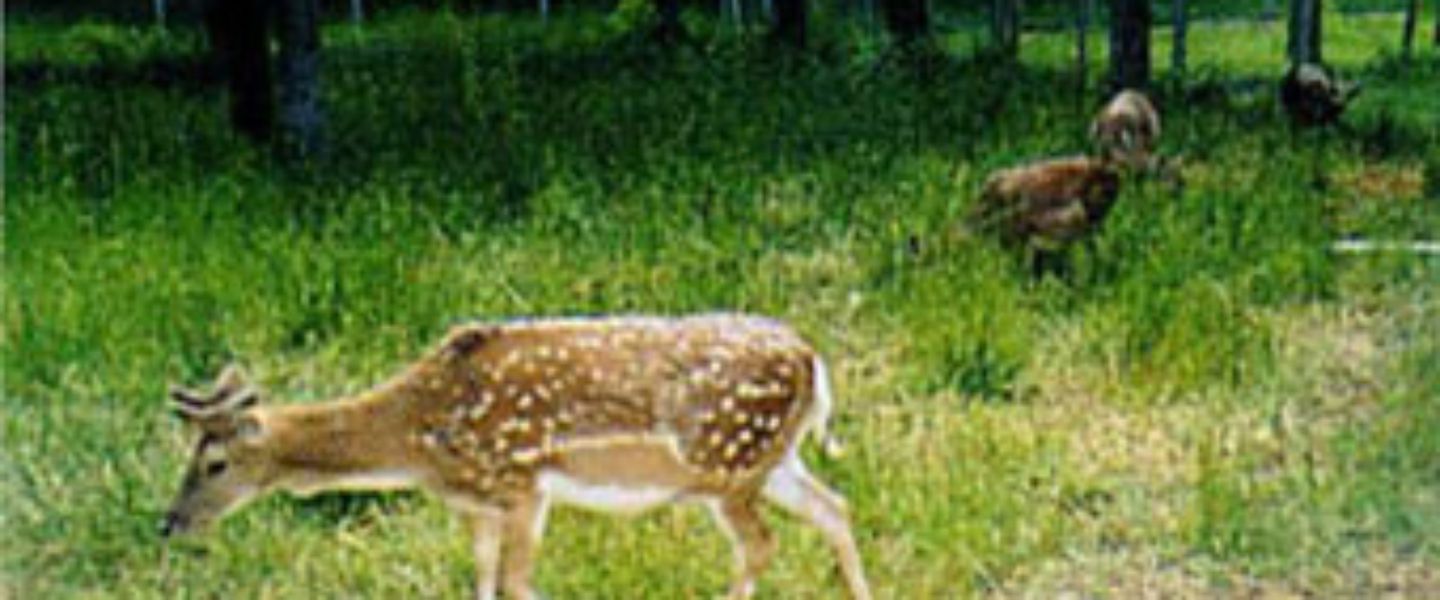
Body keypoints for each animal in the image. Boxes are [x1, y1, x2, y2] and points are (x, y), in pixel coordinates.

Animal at [163, 313, 869, 598]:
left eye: (214, 463)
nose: (168, 523)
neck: (420, 439)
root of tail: (812, 359)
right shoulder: (478, 503)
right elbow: (481, 578)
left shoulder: (525, 483)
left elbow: (517, 582)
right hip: (771, 461)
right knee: (835, 507)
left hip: (727, 464)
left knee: (761, 543)